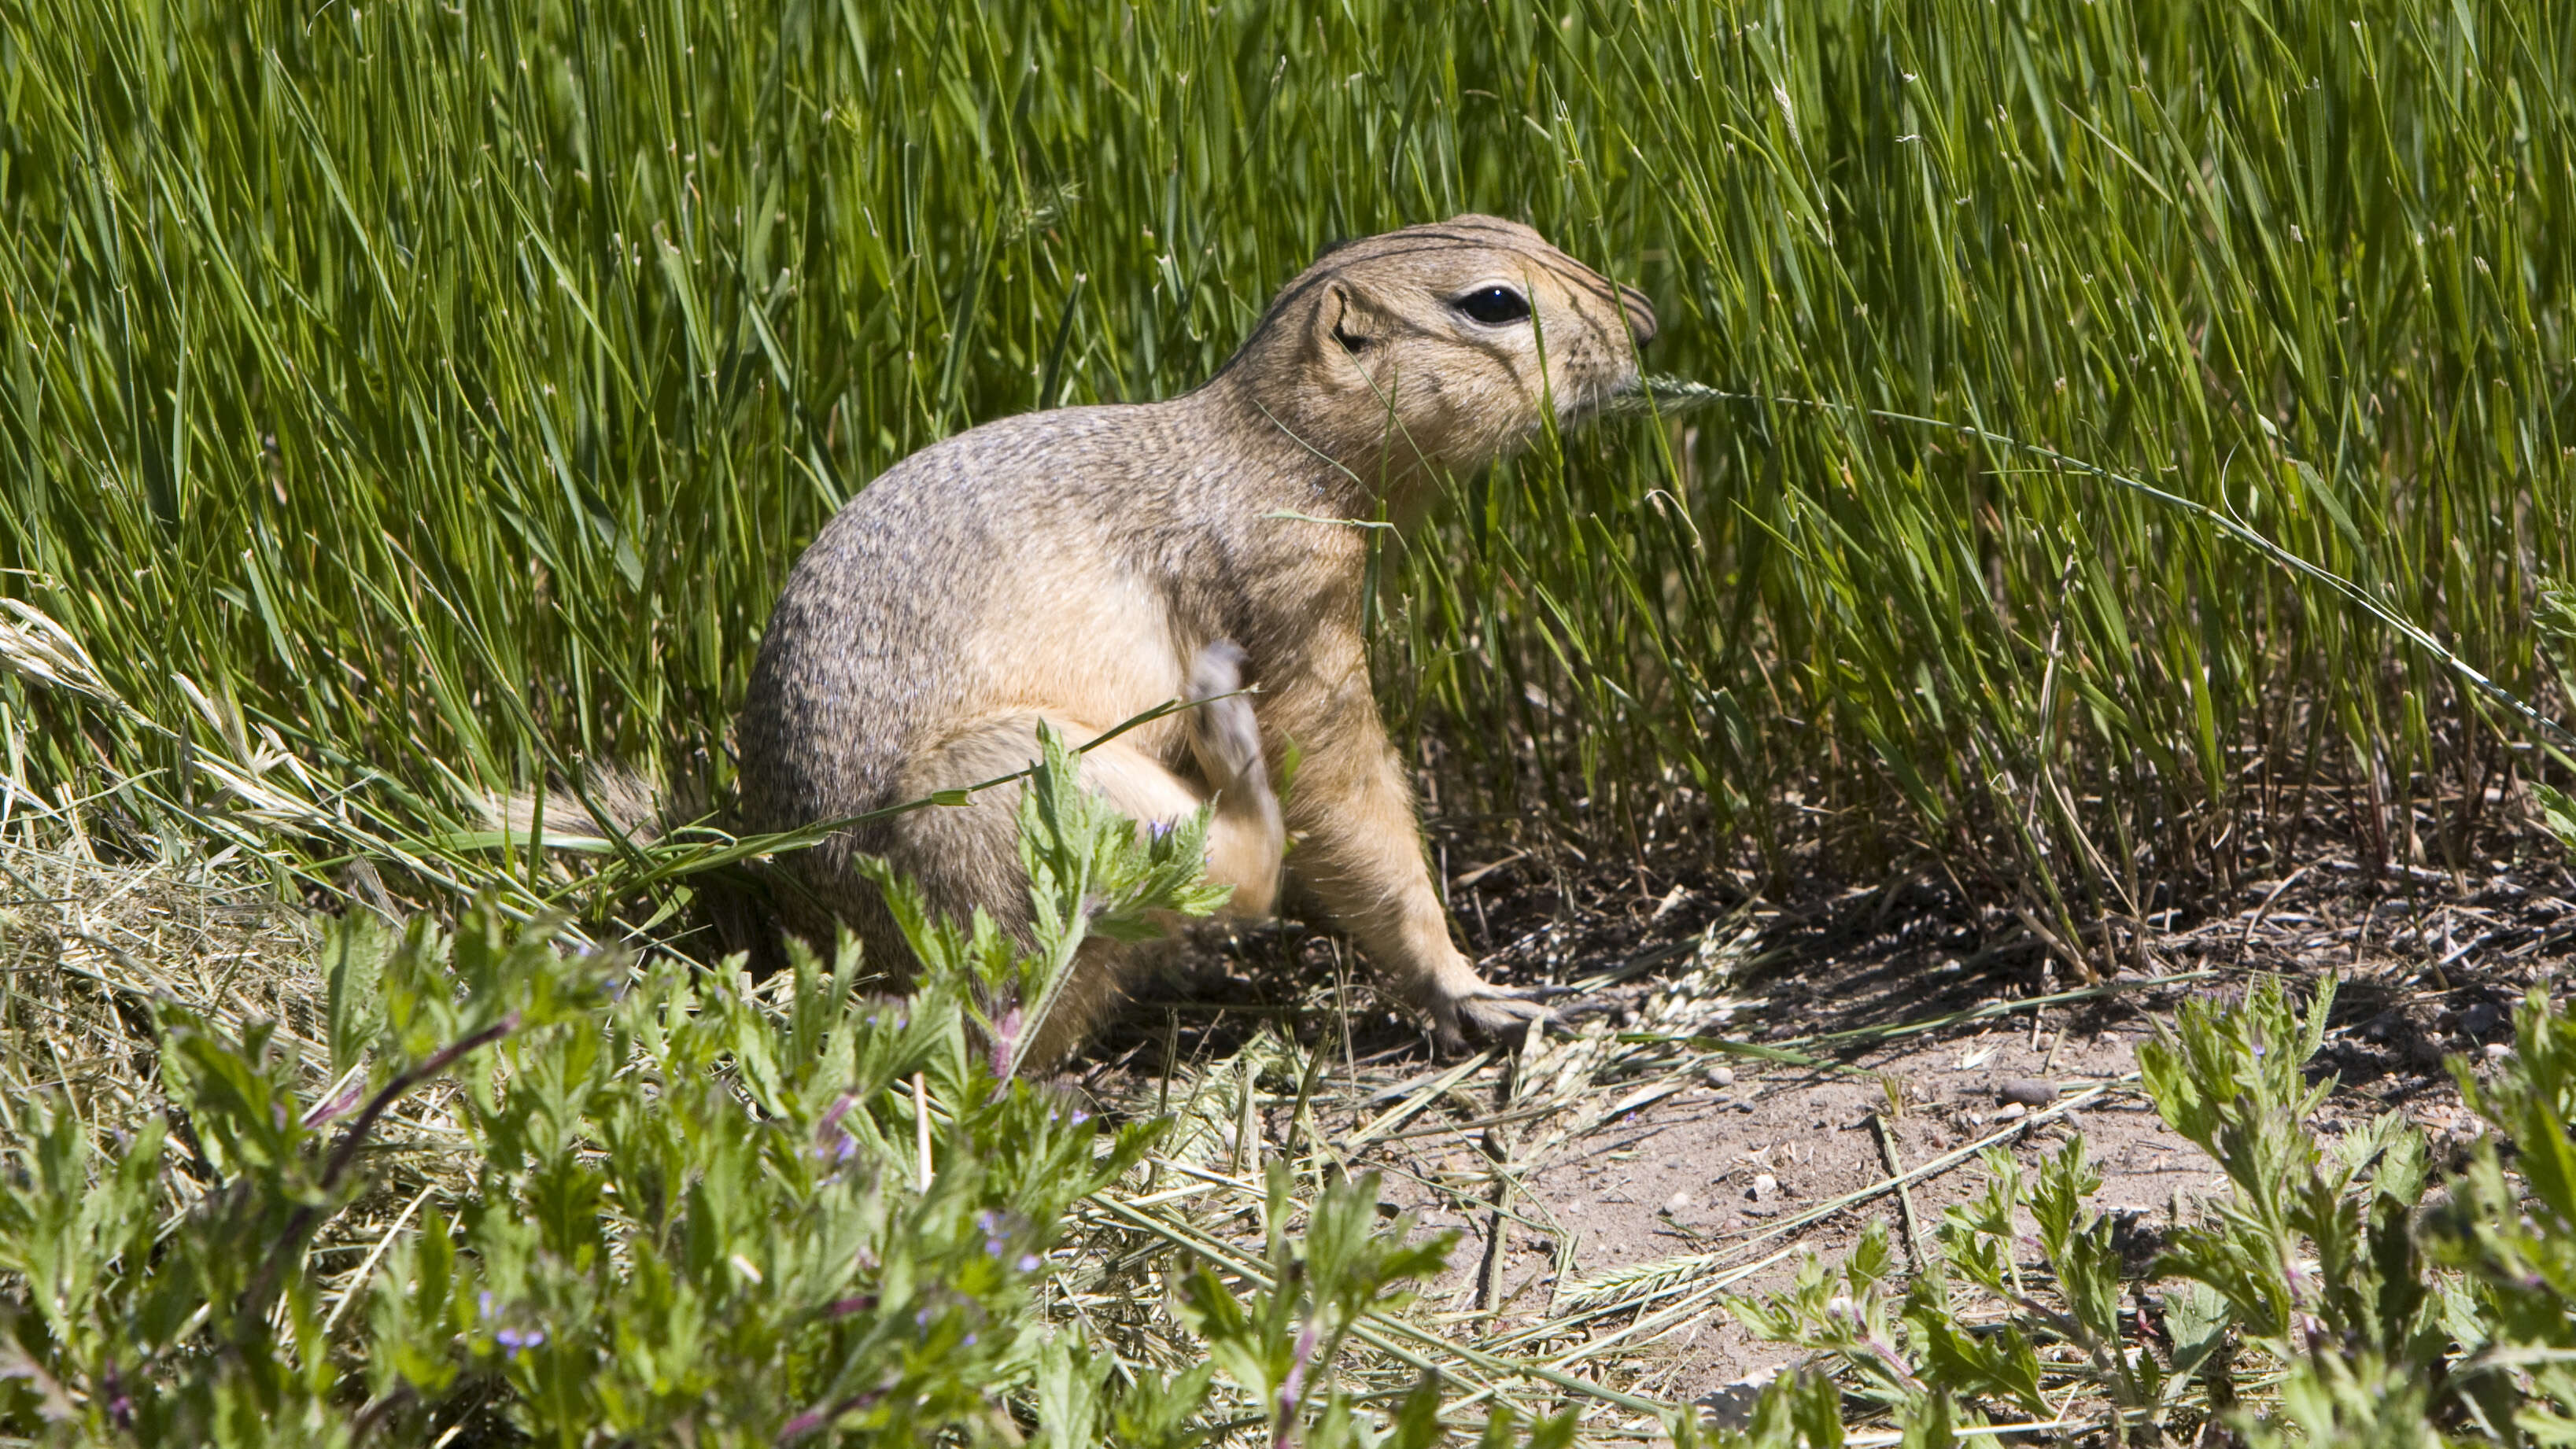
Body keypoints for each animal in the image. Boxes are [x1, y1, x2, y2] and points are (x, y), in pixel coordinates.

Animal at [731, 219, 1648, 1065]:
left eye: (1525, 228)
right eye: (1494, 303)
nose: (1642, 321)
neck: (1273, 449)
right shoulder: (1284, 598)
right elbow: (1338, 783)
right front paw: (1469, 989)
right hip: (1012, 783)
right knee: (1237, 873)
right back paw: (1224, 735)